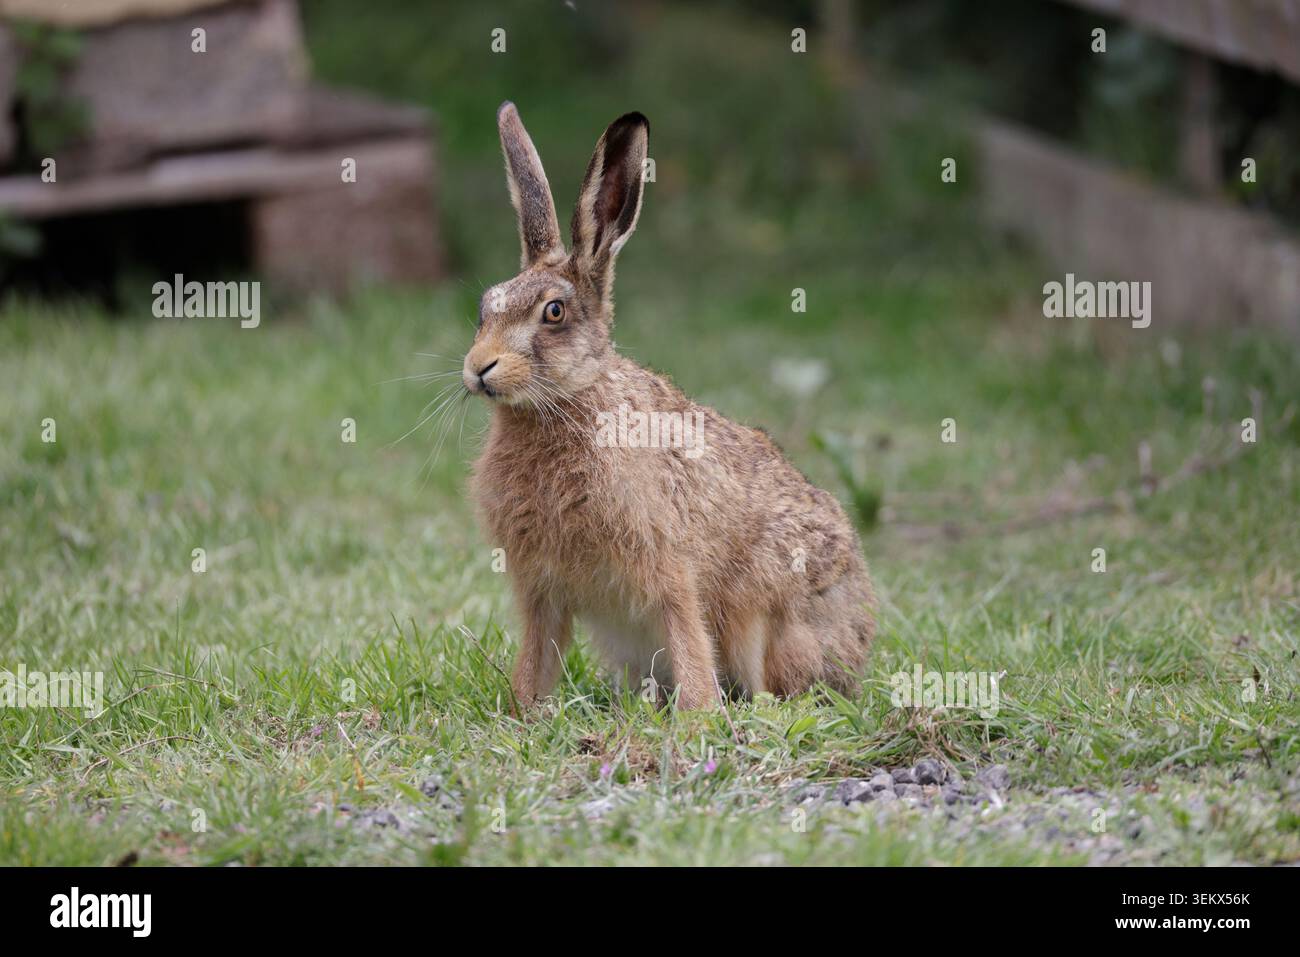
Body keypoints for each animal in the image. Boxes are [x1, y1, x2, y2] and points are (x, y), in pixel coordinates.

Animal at [463, 102, 875, 710]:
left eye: (554, 312)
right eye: (485, 306)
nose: (479, 367)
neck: (567, 403)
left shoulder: (666, 564)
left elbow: (687, 632)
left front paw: (698, 714)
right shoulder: (542, 589)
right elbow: (536, 655)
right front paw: (523, 711)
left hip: (765, 608)